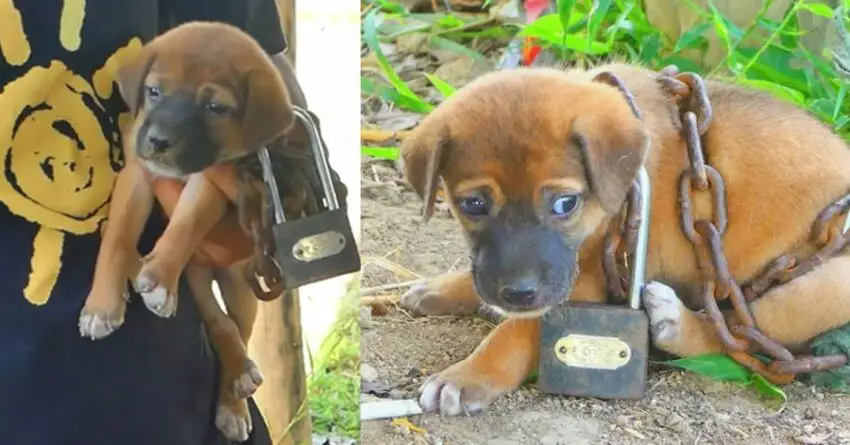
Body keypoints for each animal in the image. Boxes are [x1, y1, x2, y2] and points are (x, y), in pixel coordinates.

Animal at [78, 22, 294, 438]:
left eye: (215, 107)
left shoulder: (209, 181)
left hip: (242, 284)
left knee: (236, 329)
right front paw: (102, 306)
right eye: (154, 91)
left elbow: (186, 224)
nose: (158, 142)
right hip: (198, 278)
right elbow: (116, 237)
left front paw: (159, 273)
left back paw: (235, 396)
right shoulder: (137, 173)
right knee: (218, 323)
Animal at [400, 63, 850, 416]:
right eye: (473, 204)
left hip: (825, 288)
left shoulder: (583, 283)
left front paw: (468, 375)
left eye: (565, 203)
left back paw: (677, 322)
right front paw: (443, 288)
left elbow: (515, 334)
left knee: (739, 333)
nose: (518, 294)